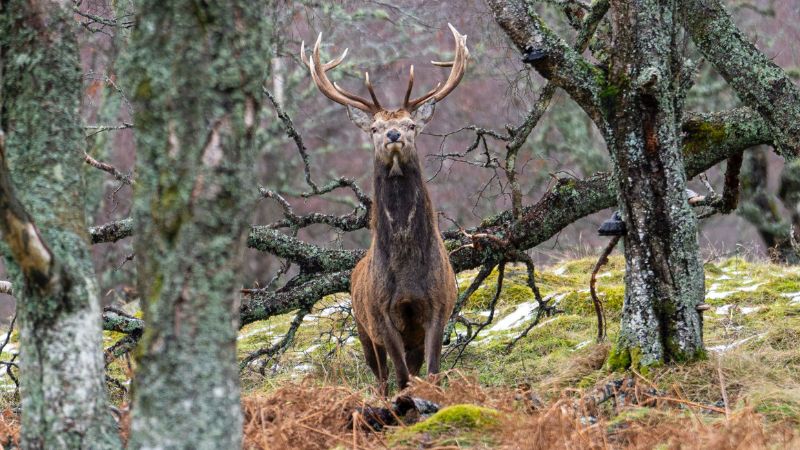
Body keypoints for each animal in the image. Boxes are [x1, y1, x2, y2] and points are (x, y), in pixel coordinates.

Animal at [300, 24, 468, 394]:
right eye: (374, 128)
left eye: (411, 125)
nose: (392, 134)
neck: (406, 273)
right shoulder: (380, 313)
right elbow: (401, 377)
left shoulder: (438, 305)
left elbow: (431, 372)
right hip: (363, 330)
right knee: (380, 377)